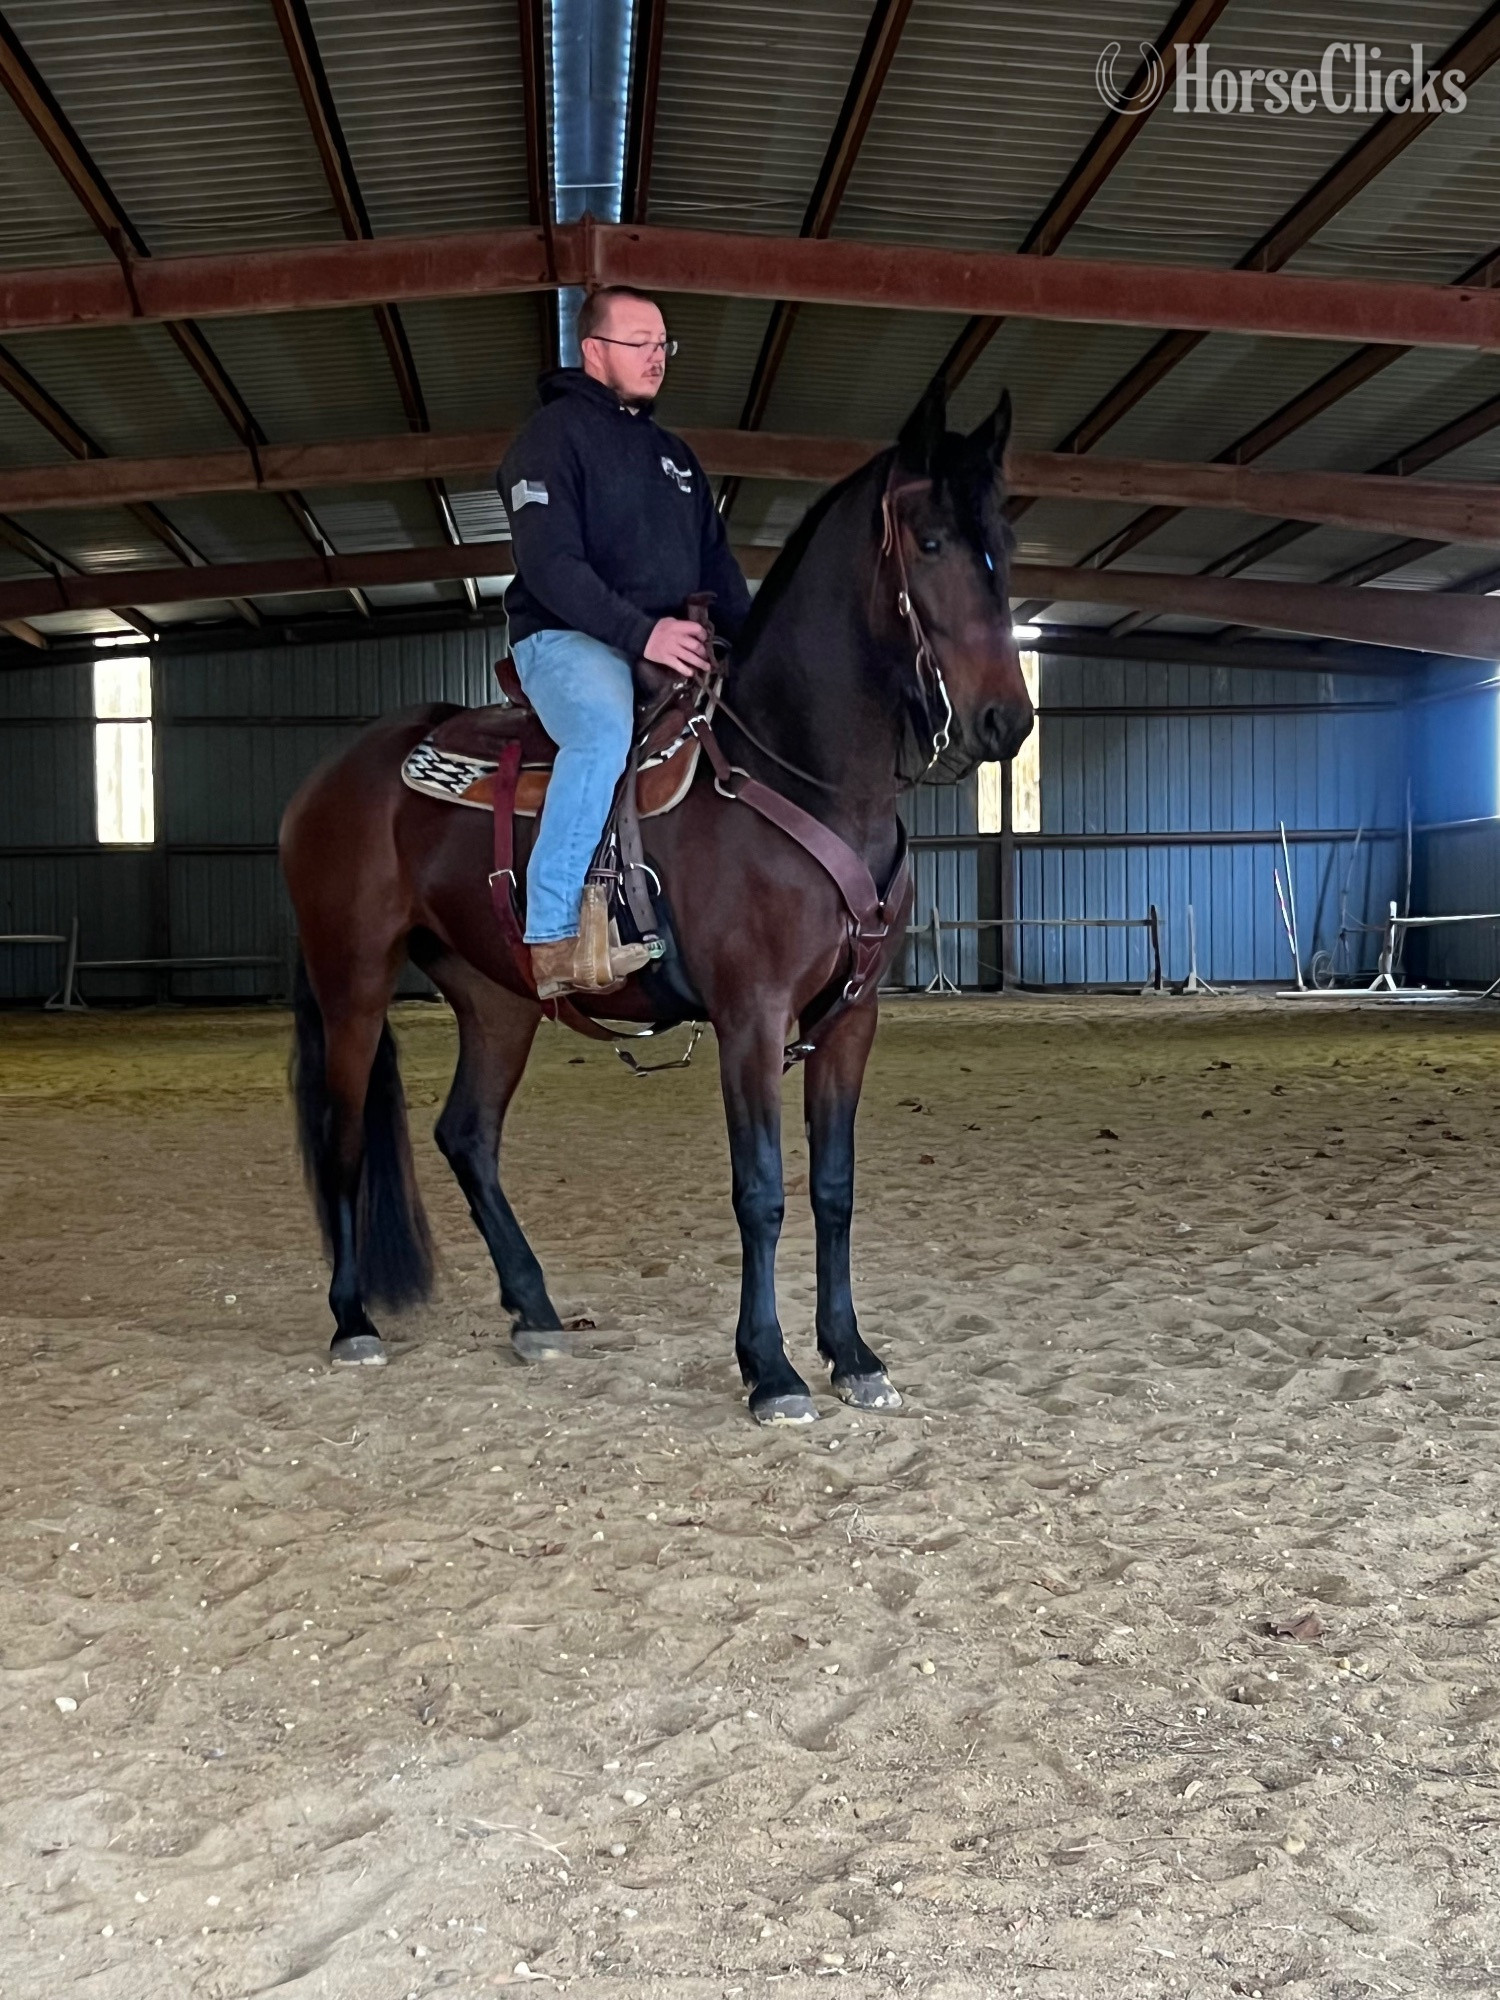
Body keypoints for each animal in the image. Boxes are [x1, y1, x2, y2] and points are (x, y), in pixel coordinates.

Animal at [279, 378, 1033, 1424]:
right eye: (928, 542)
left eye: (1002, 535)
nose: (1007, 721)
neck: (793, 771)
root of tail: (328, 778)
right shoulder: (750, 1017)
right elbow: (762, 1191)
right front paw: (771, 1369)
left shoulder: (851, 1019)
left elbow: (833, 1188)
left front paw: (851, 1354)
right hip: (352, 982)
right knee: (344, 1138)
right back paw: (354, 1321)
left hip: (498, 999)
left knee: (466, 1135)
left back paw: (536, 1312)